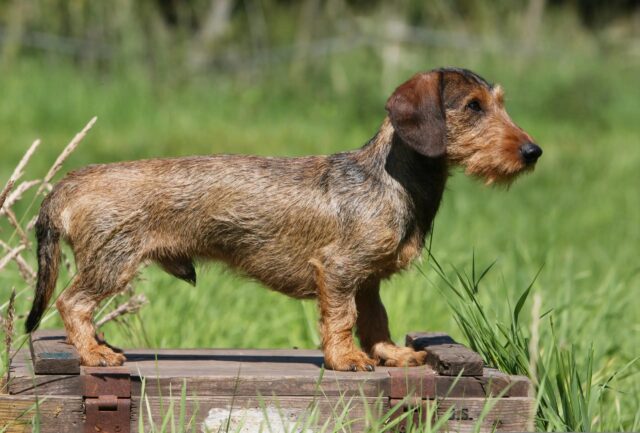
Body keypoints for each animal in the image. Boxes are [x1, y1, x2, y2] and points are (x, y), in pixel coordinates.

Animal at [27, 66, 544, 368]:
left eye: (499, 103)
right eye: (473, 107)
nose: (533, 152)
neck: (388, 177)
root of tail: (69, 183)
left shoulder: (368, 280)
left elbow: (375, 320)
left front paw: (390, 354)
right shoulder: (338, 271)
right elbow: (342, 318)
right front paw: (346, 359)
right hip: (112, 263)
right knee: (72, 303)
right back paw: (93, 353)